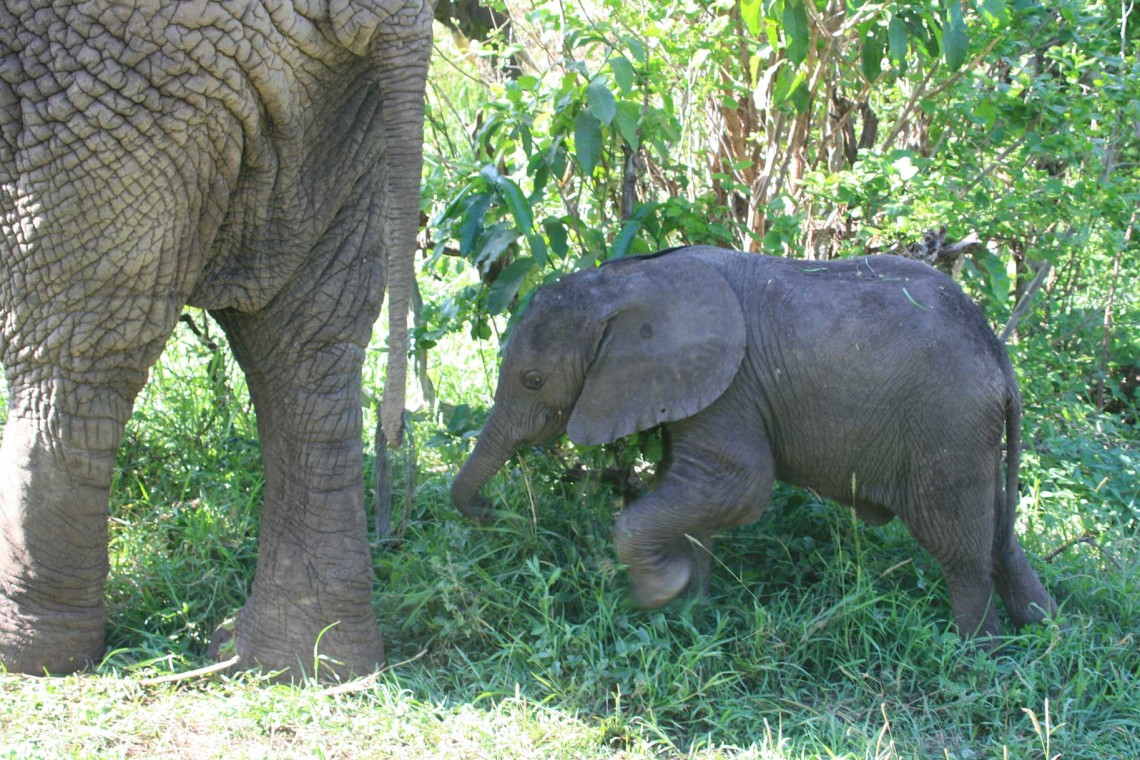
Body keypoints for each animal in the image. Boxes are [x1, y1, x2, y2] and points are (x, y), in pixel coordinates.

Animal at [0, 0, 430, 679]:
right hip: (340, 100)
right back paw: (297, 664)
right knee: (305, 347)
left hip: (107, 86)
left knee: (74, 349)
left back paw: (32, 657)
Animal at [449, 247, 1053, 638]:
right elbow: (695, 489)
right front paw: (689, 612)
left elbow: (741, 488)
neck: (626, 279)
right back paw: (1042, 631)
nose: (490, 511)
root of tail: (1000, 356)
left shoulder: (729, 384)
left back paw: (975, 650)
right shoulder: (700, 389)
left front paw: (659, 593)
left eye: (532, 380)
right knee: (997, 531)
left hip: (947, 422)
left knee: (957, 544)